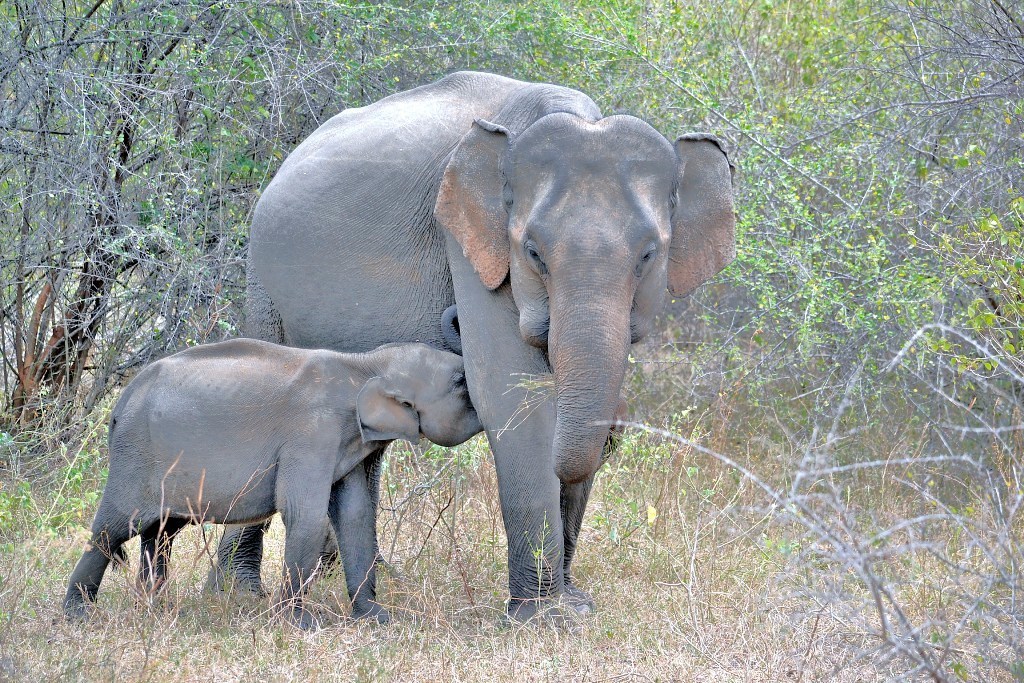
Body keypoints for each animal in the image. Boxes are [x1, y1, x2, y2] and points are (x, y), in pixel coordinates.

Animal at [63, 339, 480, 629]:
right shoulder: (312, 434)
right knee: (115, 527)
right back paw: (78, 616)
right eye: (461, 382)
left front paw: (378, 619)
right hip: (135, 456)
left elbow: (356, 517)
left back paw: (156, 609)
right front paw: (301, 625)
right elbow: (305, 516)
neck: (363, 365)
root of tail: (120, 403)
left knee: (161, 532)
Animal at [213, 71, 736, 622]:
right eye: (533, 253)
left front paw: (573, 605)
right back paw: (238, 593)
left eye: (649, 254)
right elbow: (512, 396)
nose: (452, 321)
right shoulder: (471, 246)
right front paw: (548, 619)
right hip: (262, 283)